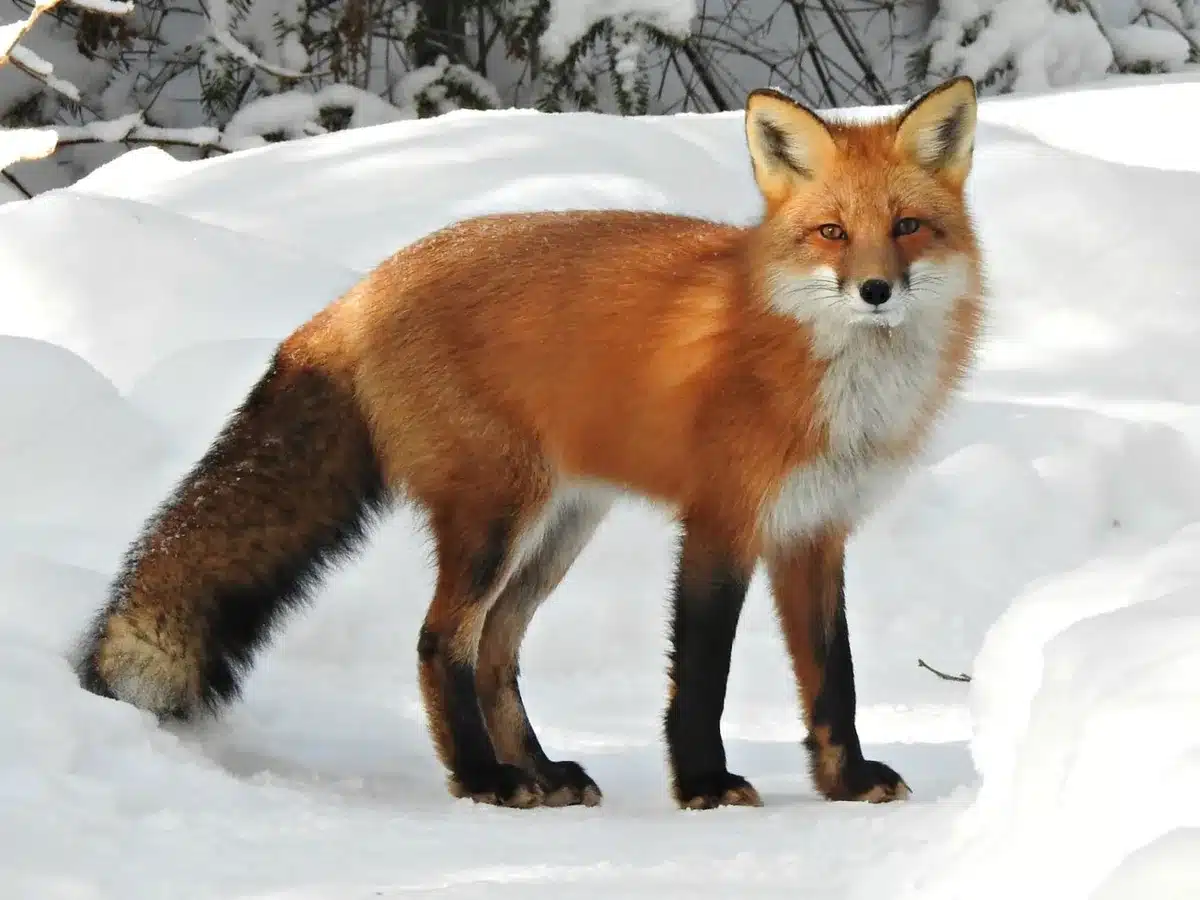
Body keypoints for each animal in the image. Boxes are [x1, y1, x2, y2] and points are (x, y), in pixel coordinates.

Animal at [73, 75, 984, 812]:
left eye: (908, 226)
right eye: (832, 233)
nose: (875, 291)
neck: (827, 378)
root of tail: (358, 294)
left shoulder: (814, 532)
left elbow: (835, 680)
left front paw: (846, 782)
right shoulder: (720, 522)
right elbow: (702, 675)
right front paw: (702, 785)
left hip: (559, 528)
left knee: (495, 651)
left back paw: (540, 772)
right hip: (497, 517)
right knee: (441, 642)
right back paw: (484, 780)